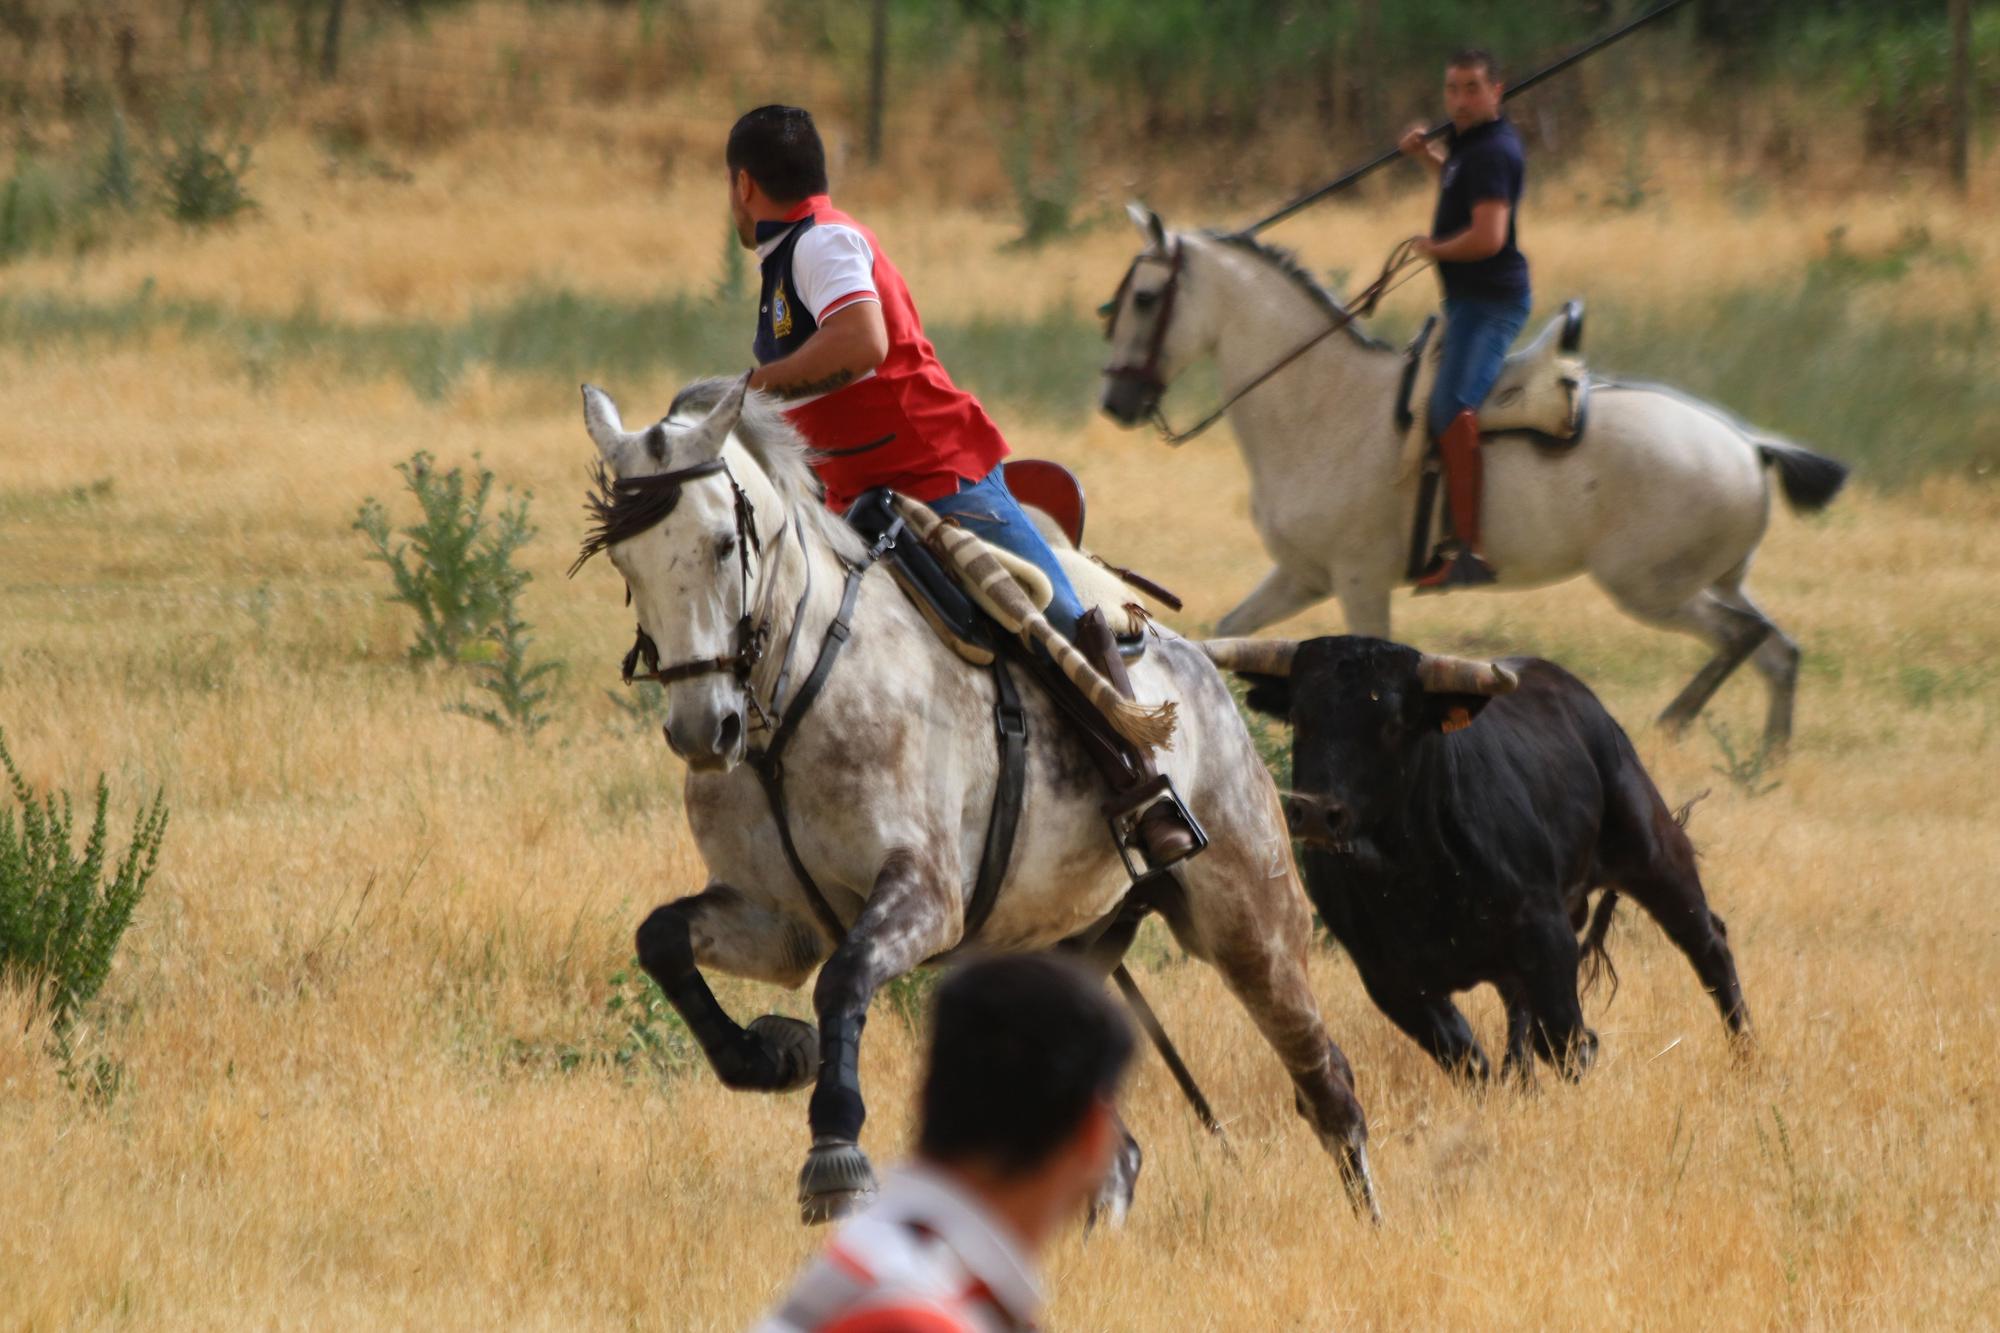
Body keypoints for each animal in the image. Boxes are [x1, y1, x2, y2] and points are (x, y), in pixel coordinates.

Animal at [572, 376, 1400, 1224]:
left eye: (721, 543)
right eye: (623, 559)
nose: (704, 730)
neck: (798, 692)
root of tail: (1204, 670)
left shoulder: (926, 896)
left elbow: (845, 976)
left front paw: (834, 1160)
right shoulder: (776, 922)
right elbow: (662, 938)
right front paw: (773, 1051)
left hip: (1249, 923)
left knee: (1326, 1083)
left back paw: (1369, 1221)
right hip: (1066, 940)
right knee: (1116, 1150)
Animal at [1200, 632, 1752, 1080]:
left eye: (1394, 723)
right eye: (1300, 717)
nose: (1316, 814)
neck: (1411, 873)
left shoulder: (1548, 937)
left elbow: (1565, 1042)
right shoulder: (1390, 981)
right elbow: (1467, 1059)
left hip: (1654, 852)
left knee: (1708, 945)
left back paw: (1746, 1058)